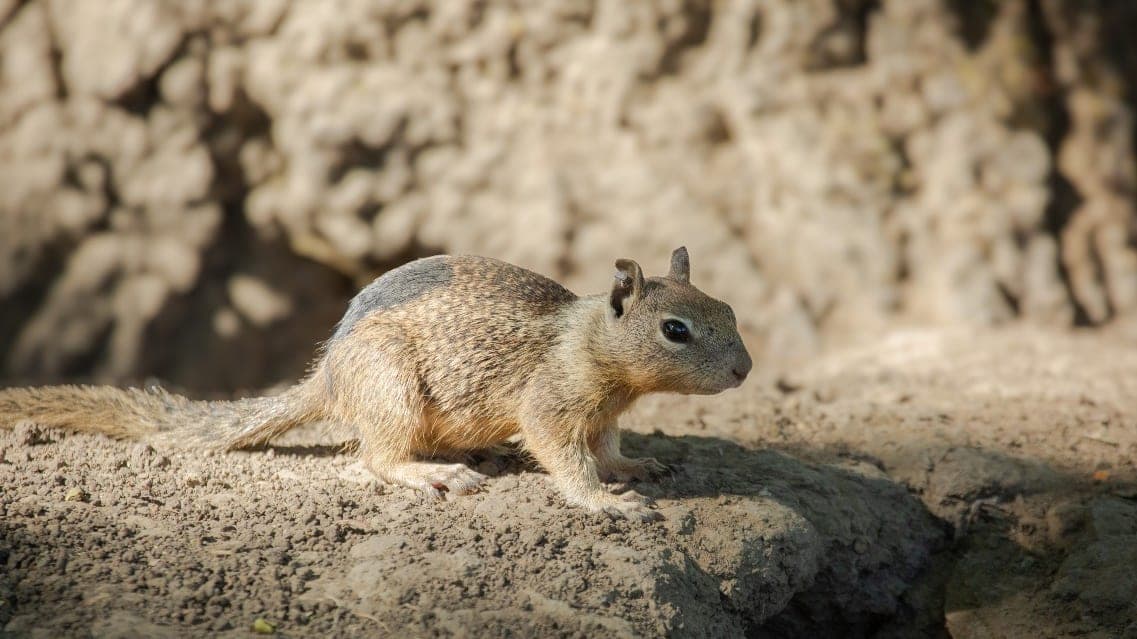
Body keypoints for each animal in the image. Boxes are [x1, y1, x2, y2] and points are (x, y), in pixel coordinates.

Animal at [0, 247, 751, 521]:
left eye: (730, 310)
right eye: (676, 330)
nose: (745, 370)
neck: (590, 339)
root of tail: (329, 373)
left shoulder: (606, 411)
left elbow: (610, 444)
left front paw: (637, 464)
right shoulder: (551, 403)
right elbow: (565, 457)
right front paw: (604, 501)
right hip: (392, 391)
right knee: (376, 459)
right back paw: (435, 473)